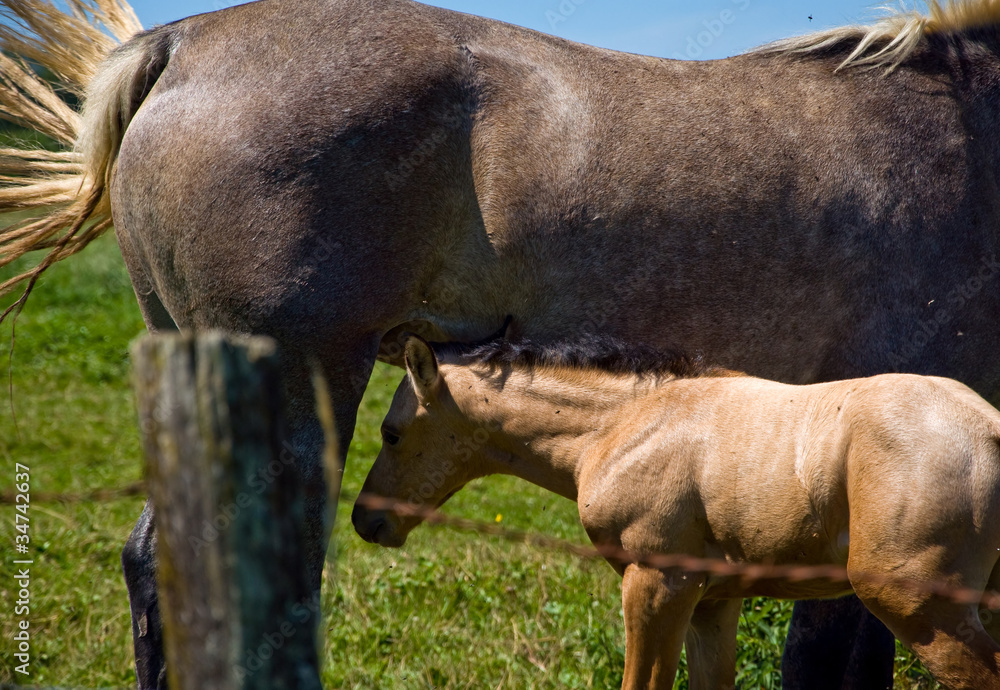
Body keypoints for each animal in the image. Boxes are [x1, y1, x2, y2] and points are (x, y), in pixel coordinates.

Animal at [353, 333, 1000, 689]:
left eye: (389, 433)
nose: (365, 519)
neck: (623, 425)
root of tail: (989, 427)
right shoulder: (712, 604)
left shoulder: (657, 584)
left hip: (918, 608)